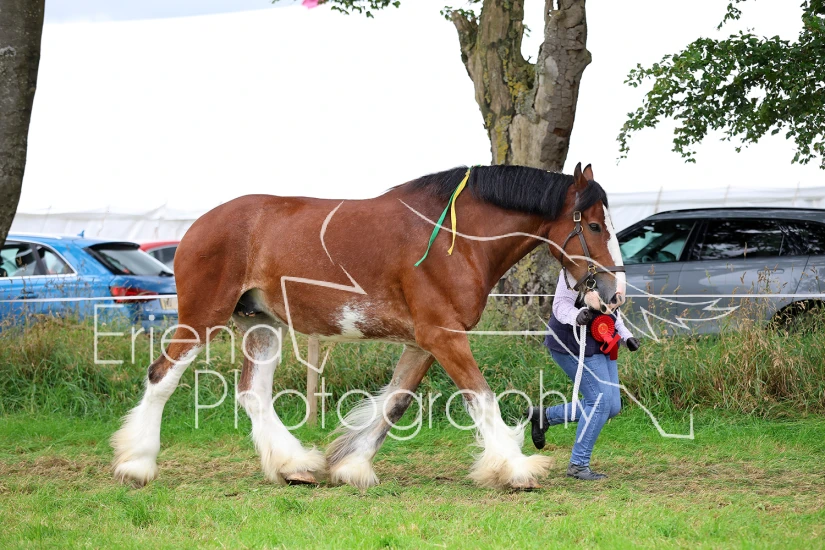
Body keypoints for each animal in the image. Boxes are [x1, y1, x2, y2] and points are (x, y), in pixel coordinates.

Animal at [111, 162, 626, 490]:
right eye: (594, 226)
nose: (615, 293)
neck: (456, 240)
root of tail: (199, 225)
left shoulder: (425, 342)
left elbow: (395, 401)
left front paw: (351, 466)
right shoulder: (443, 336)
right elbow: (482, 397)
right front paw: (516, 468)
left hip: (262, 324)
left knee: (252, 393)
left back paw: (293, 466)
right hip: (202, 319)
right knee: (161, 377)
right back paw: (137, 464)